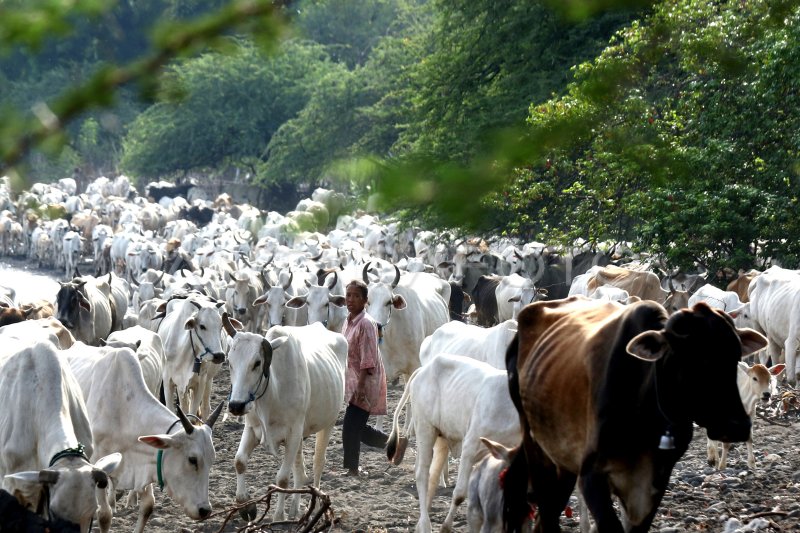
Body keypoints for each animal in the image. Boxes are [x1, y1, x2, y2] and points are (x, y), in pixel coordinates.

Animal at [63, 342, 222, 528]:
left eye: (212, 460)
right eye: (192, 459)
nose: (205, 510)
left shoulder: (144, 462)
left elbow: (148, 506)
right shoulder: (97, 465)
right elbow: (103, 515)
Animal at [222, 318, 346, 520]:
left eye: (257, 363)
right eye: (230, 362)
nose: (236, 406)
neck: (273, 390)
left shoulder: (293, 434)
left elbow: (282, 479)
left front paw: (278, 517)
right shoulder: (252, 429)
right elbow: (239, 462)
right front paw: (246, 506)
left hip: (328, 423)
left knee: (318, 463)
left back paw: (315, 507)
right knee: (300, 469)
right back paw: (295, 509)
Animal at [386, 354, 520, 532]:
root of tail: (423, 370)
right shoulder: (470, 447)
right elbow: (460, 494)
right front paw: (445, 527)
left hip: (441, 438)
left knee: (433, 476)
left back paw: (421, 522)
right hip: (425, 429)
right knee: (422, 474)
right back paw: (426, 525)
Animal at [504, 298, 764, 528]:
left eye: (735, 357)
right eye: (692, 359)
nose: (738, 426)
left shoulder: (651, 485)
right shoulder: (591, 477)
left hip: (564, 463)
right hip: (537, 451)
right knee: (547, 514)